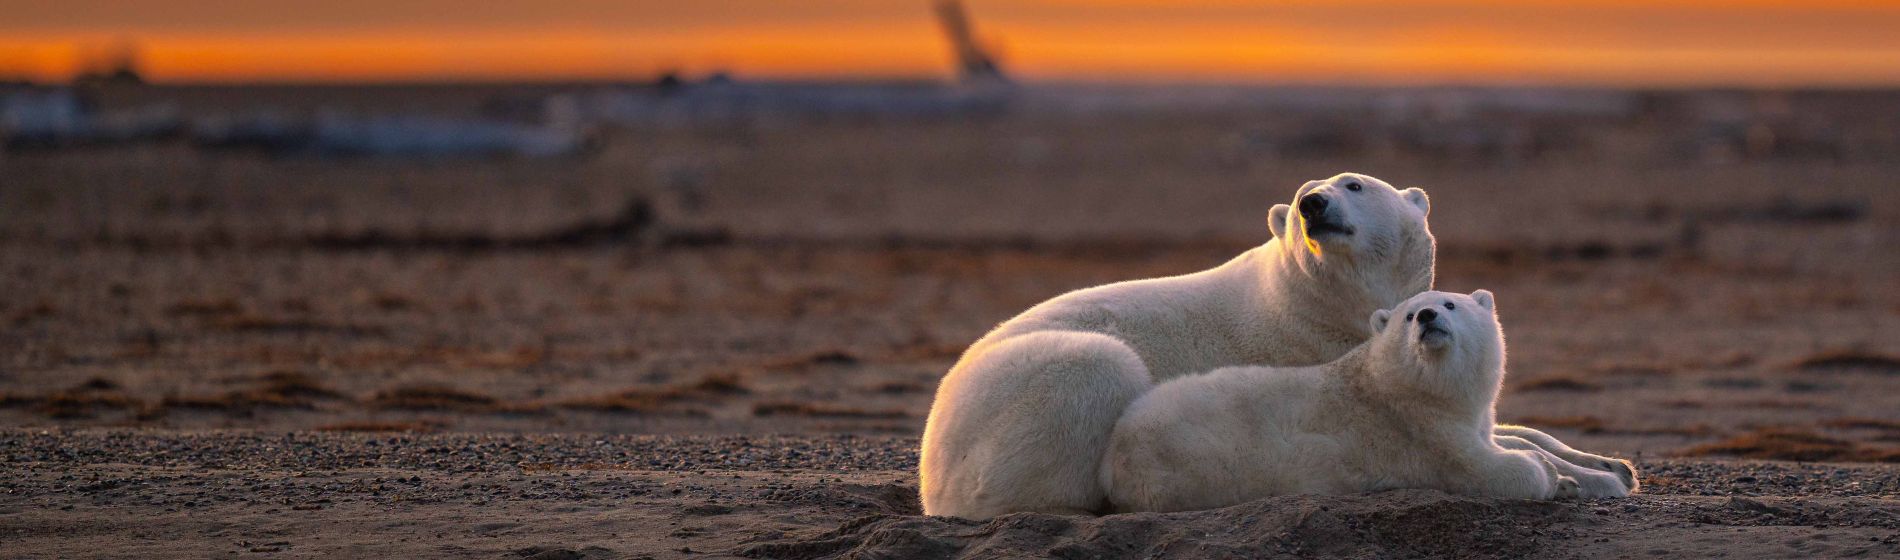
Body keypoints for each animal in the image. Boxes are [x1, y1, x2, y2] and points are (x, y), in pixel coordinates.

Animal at [915, 172, 1428, 523]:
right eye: (1305, 190)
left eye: (1354, 185)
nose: (1312, 204)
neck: (1302, 301)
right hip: (1012, 408)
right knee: (1098, 366)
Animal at [1102, 290, 1634, 512]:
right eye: (1407, 316)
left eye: (1450, 303)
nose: (1427, 316)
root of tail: (1117, 448)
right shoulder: (1419, 432)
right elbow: (1492, 470)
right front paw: (1558, 480)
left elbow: (1511, 439)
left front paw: (1609, 473)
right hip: (1202, 464)